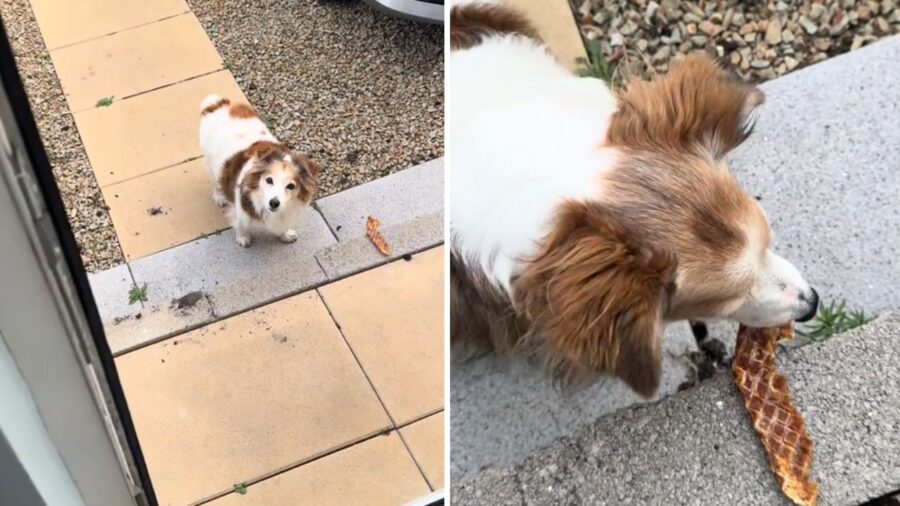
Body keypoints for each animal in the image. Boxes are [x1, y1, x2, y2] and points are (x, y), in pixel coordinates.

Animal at [200, 95, 320, 249]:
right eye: (269, 180)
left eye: (291, 186)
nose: (274, 203)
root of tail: (219, 104)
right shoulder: (241, 212)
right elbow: (242, 225)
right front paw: (243, 238)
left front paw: (285, 235)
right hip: (211, 162)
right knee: (215, 181)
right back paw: (219, 197)